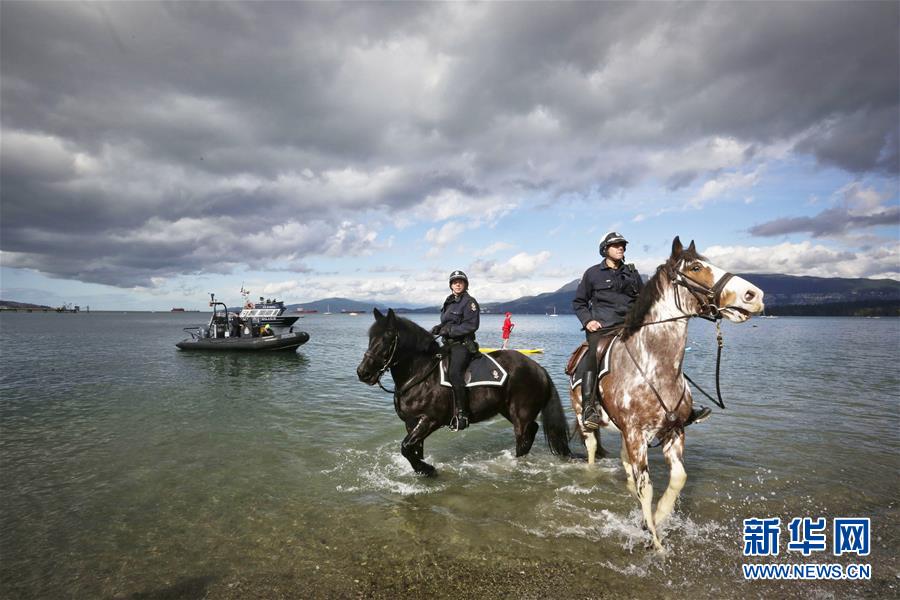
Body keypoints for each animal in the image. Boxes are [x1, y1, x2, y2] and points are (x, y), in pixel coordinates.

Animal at [356, 310, 568, 474]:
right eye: (370, 338)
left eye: (387, 338)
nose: (363, 372)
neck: (421, 374)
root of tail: (538, 368)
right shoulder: (411, 423)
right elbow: (414, 450)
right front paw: (421, 468)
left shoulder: (429, 420)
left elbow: (406, 448)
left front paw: (427, 469)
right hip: (508, 410)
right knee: (532, 431)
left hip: (520, 415)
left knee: (524, 437)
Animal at [568, 237, 764, 552]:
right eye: (695, 267)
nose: (754, 295)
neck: (655, 366)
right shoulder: (636, 435)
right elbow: (646, 488)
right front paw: (656, 541)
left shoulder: (673, 432)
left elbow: (678, 478)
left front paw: (659, 518)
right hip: (585, 418)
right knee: (591, 448)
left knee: (624, 462)